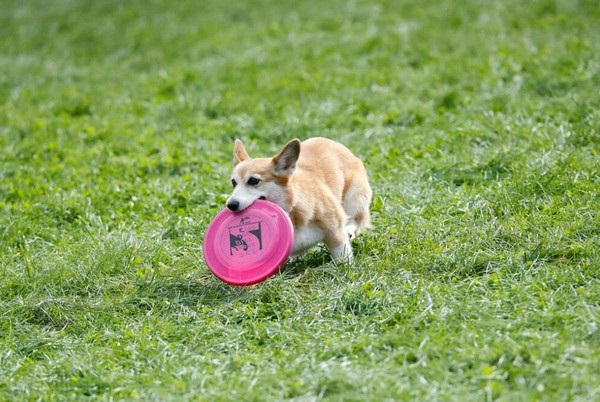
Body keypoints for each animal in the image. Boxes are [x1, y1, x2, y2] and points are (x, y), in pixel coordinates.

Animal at [225, 138, 370, 262]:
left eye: (253, 181)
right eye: (233, 182)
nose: (230, 205)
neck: (291, 209)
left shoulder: (335, 230)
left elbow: (342, 256)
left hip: (354, 197)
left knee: (357, 219)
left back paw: (350, 229)